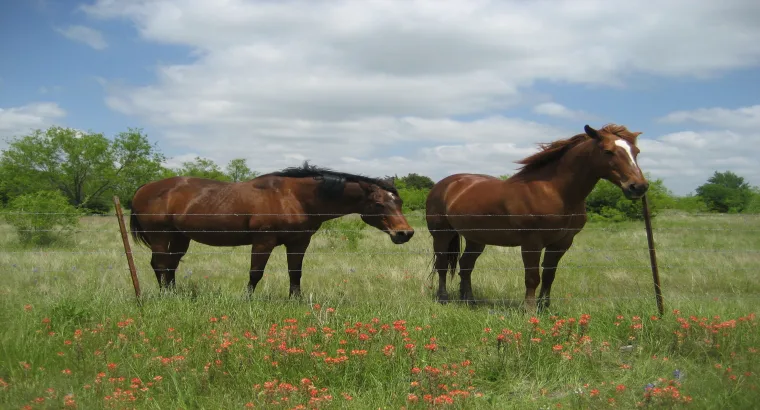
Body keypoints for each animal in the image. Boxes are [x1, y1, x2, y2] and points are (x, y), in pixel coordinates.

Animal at [129, 162, 414, 296]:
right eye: (379, 204)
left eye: (399, 202)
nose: (405, 233)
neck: (294, 197)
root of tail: (144, 188)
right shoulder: (263, 241)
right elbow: (255, 273)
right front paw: (246, 300)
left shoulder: (299, 242)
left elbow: (295, 273)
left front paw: (296, 301)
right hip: (160, 235)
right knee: (159, 265)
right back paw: (166, 296)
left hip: (180, 238)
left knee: (170, 266)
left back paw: (174, 294)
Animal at [425, 124, 649, 312]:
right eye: (608, 151)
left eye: (636, 152)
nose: (638, 187)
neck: (555, 191)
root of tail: (444, 185)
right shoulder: (532, 242)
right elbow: (533, 277)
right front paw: (529, 310)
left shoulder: (561, 243)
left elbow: (549, 275)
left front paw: (544, 308)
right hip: (442, 234)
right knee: (442, 265)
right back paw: (443, 299)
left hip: (476, 239)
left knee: (466, 266)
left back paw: (469, 301)